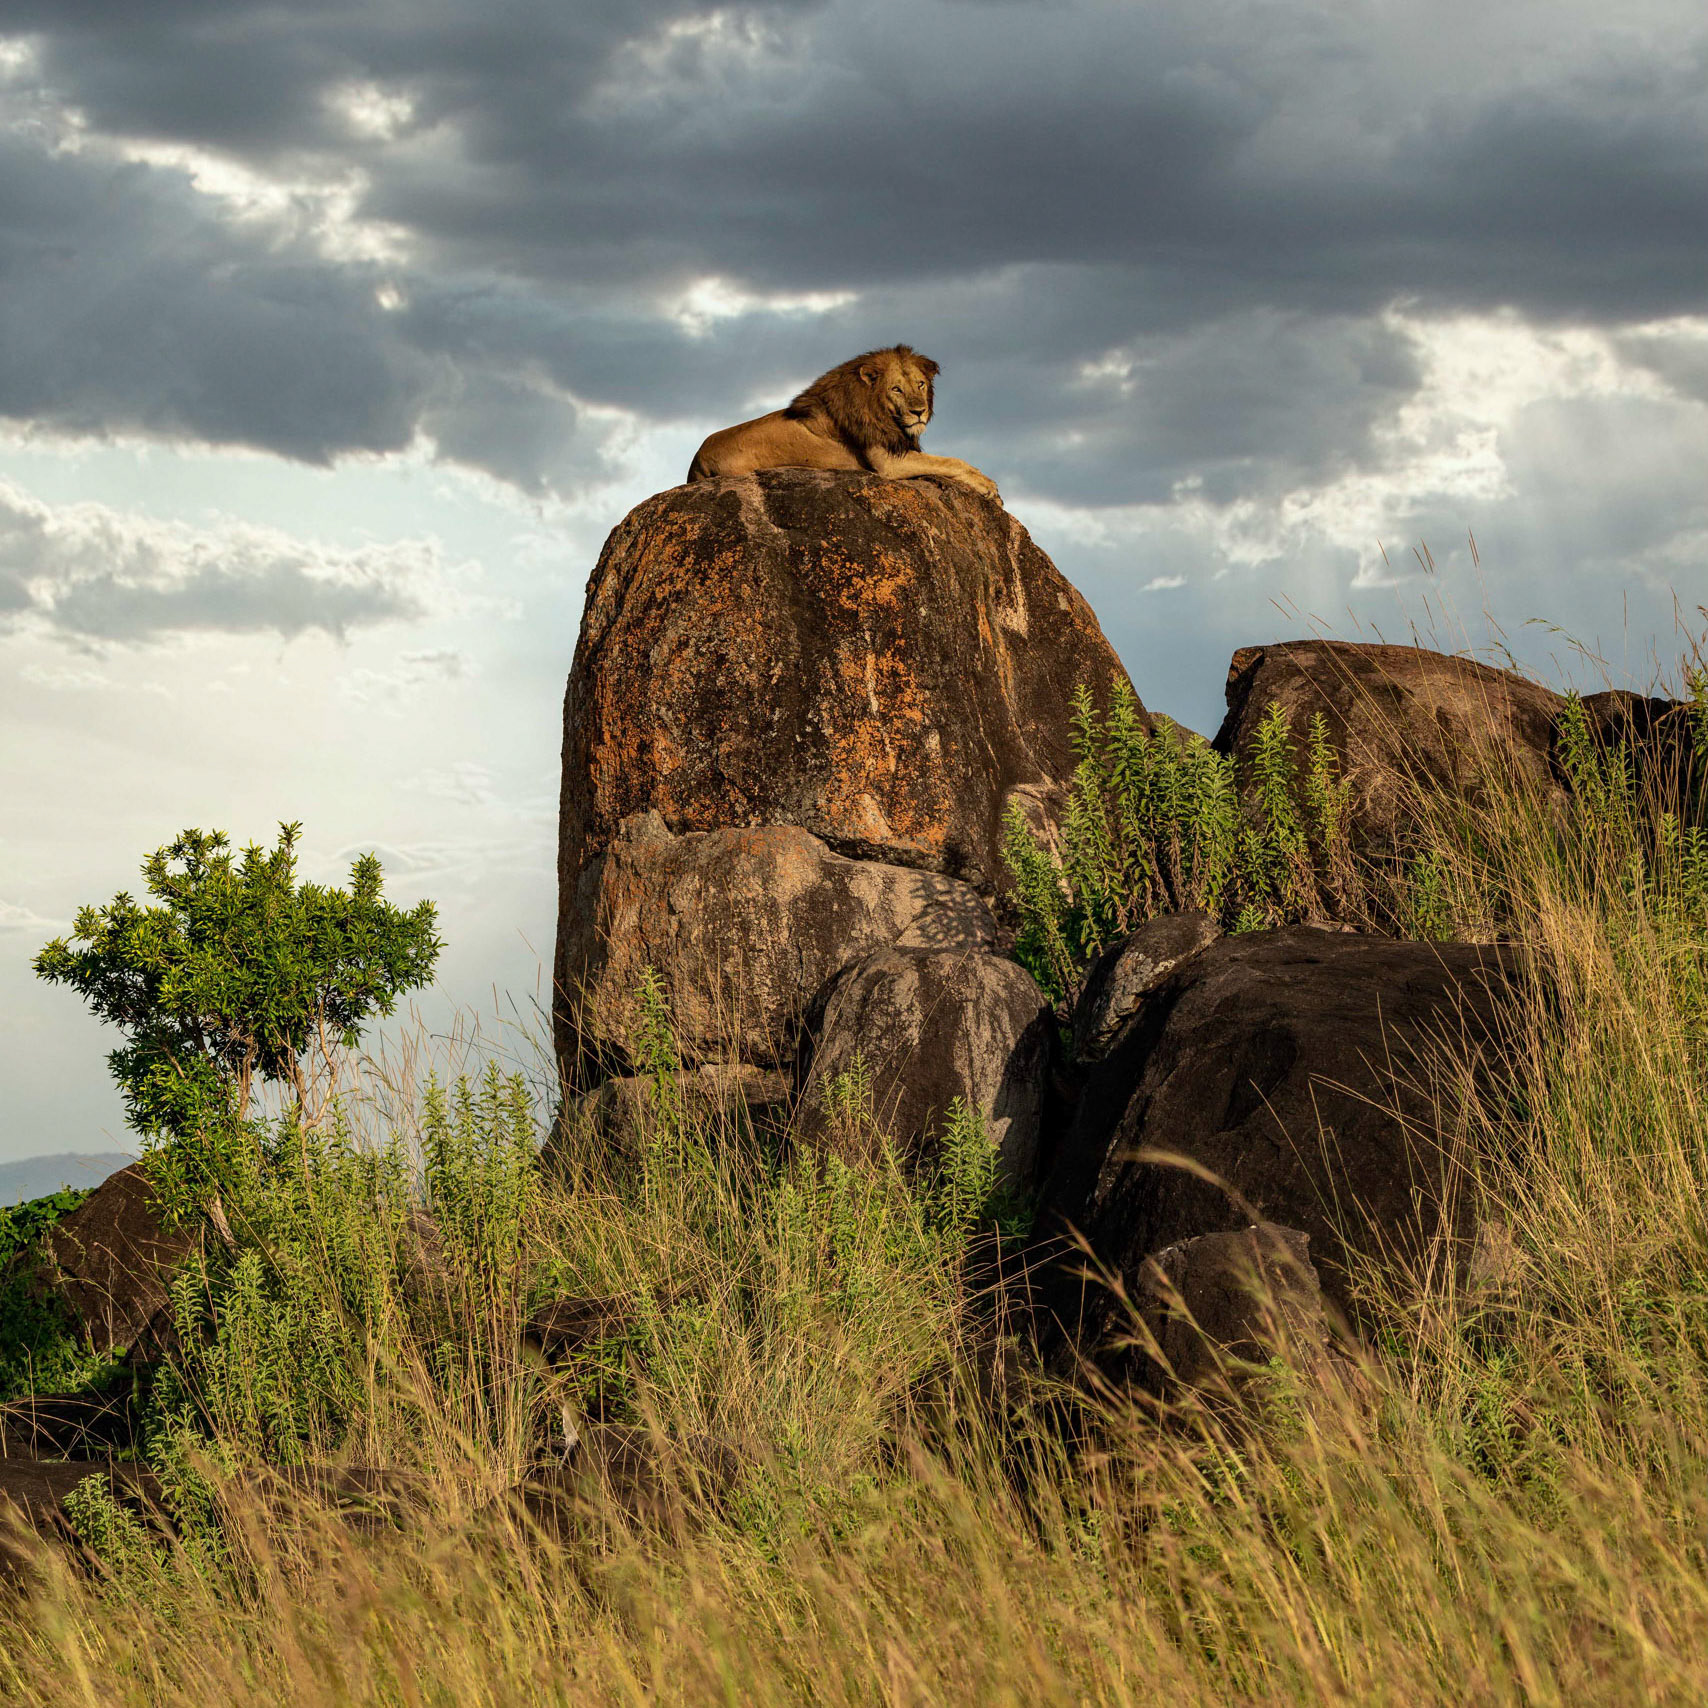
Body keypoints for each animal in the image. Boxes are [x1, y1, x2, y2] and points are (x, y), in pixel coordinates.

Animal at [686, 345, 1001, 502]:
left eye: (920, 384)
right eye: (896, 389)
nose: (919, 412)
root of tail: (695, 462)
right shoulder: (887, 462)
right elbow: (949, 462)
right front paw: (988, 487)